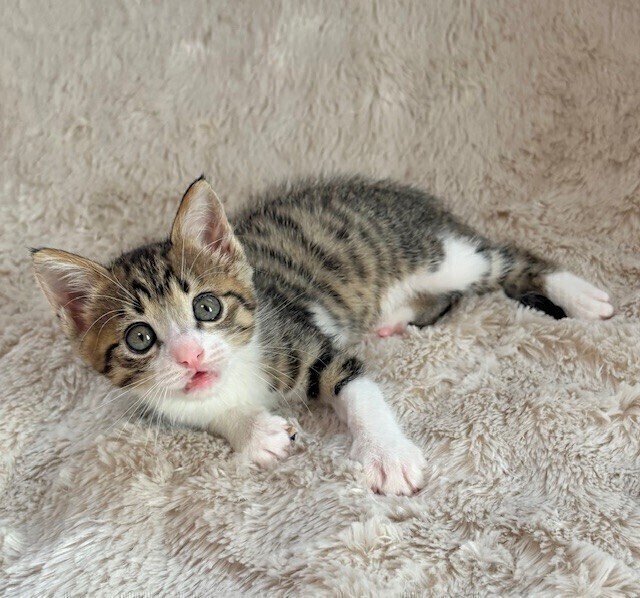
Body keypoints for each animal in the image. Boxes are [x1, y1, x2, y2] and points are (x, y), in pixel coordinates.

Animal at [31, 176, 614, 495]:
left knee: (505, 259)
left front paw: (387, 456)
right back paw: (394, 316)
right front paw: (255, 432)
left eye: (207, 306)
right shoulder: (171, 404)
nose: (192, 354)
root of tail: (418, 201)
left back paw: (580, 294)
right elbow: (212, 414)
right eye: (139, 339)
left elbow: (357, 390)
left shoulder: (307, 341)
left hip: (439, 254)